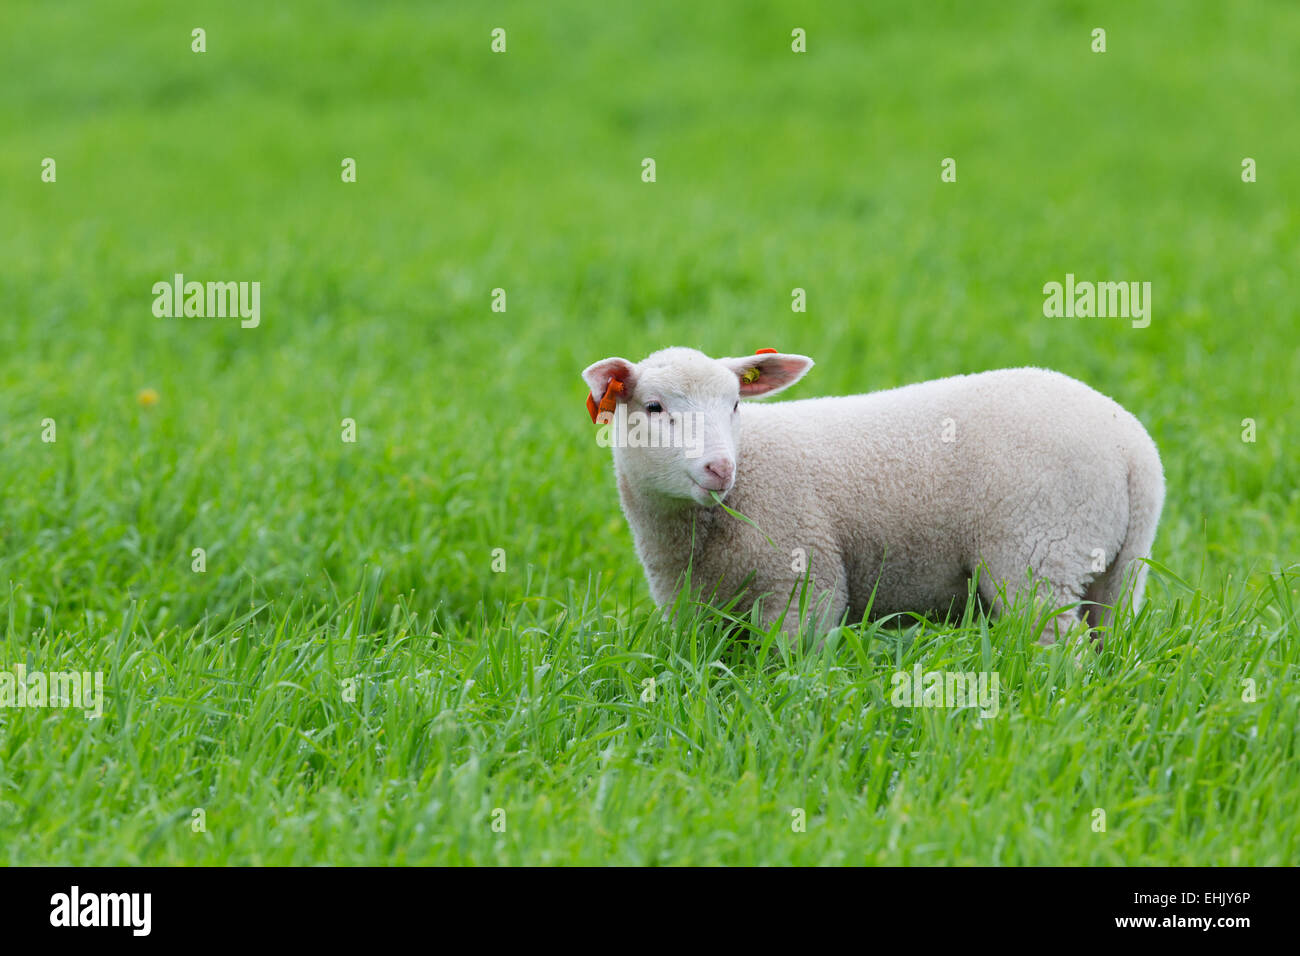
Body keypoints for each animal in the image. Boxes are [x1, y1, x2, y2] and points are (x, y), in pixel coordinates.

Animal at [582, 347, 1164, 645]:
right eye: (654, 407)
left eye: (735, 405)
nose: (720, 468)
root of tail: (1133, 450)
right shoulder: (690, 607)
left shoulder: (804, 582)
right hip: (1118, 568)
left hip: (1038, 553)